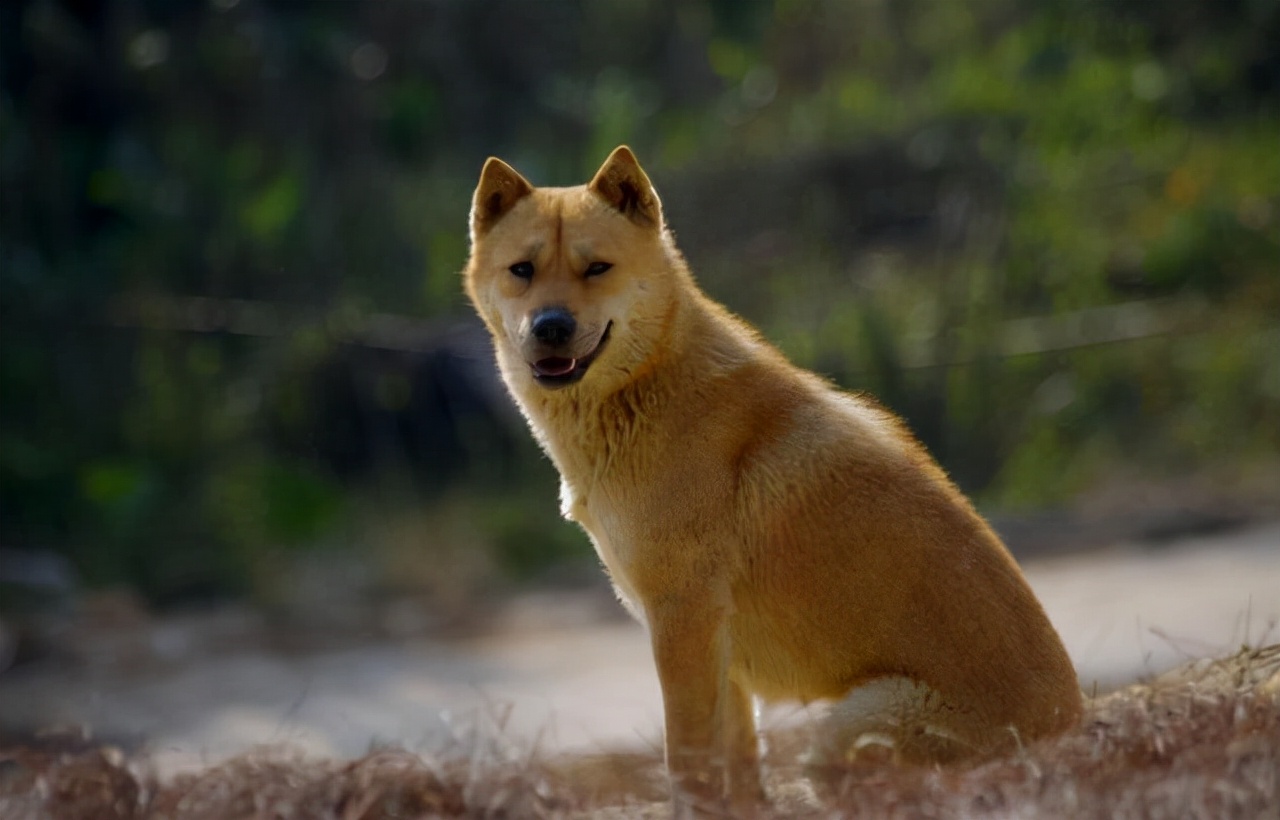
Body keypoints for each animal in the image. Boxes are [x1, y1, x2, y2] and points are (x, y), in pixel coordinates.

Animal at [460, 145, 1080, 813]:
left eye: (596, 268)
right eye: (522, 270)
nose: (549, 325)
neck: (649, 387)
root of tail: (1073, 729)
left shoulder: (683, 622)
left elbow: (687, 759)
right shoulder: (716, 648)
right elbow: (736, 760)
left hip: (850, 727)